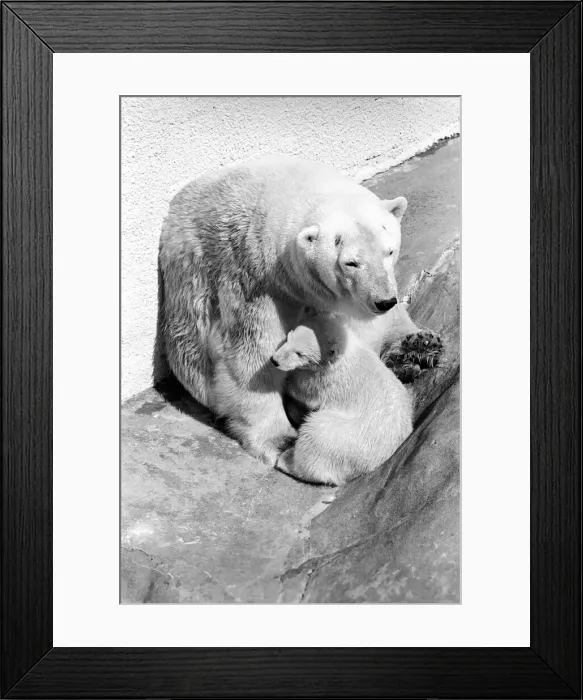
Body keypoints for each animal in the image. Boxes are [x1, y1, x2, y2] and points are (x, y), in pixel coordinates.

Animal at [158, 155, 441, 466]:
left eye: (389, 251)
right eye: (351, 263)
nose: (383, 301)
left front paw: (417, 346)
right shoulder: (252, 283)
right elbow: (250, 359)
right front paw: (281, 440)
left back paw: (416, 348)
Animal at [270, 314, 414, 485]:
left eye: (300, 353)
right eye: (288, 338)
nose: (274, 360)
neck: (345, 353)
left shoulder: (324, 381)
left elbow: (303, 390)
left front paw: (288, 383)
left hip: (340, 436)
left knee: (314, 436)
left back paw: (286, 459)